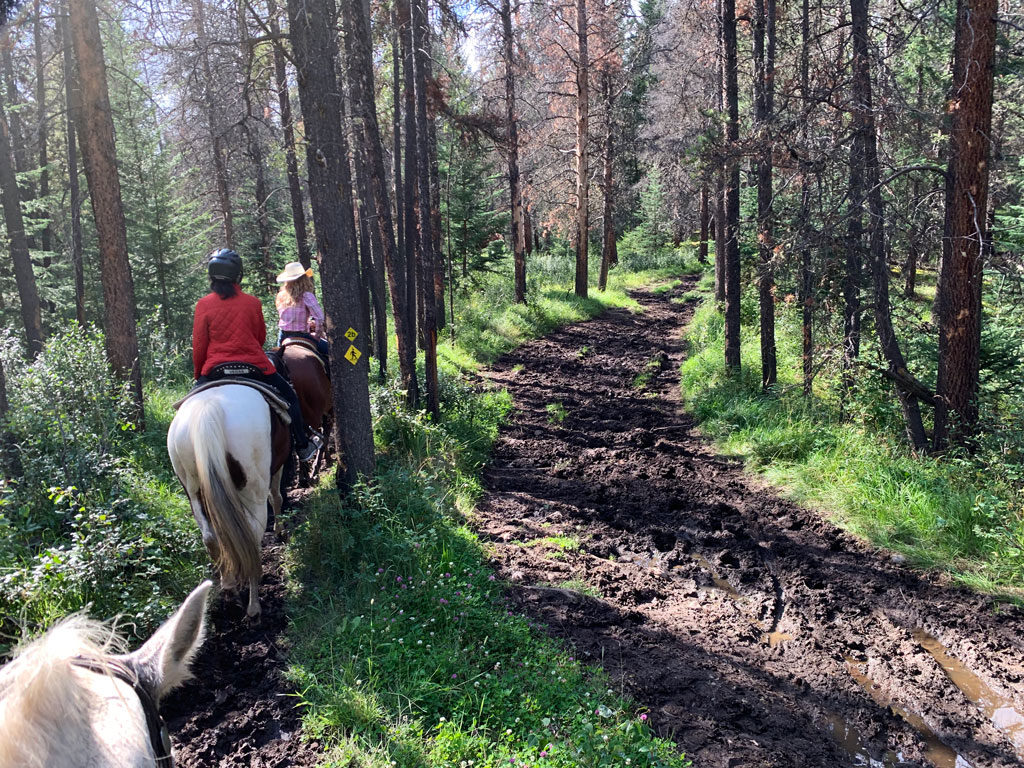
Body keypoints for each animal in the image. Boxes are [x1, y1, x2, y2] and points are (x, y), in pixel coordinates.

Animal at [166, 385, 288, 618]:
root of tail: (208, 409)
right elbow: (276, 495)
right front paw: (280, 530)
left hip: (192, 488)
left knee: (210, 536)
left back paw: (230, 591)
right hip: (253, 489)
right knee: (251, 538)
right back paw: (253, 607)